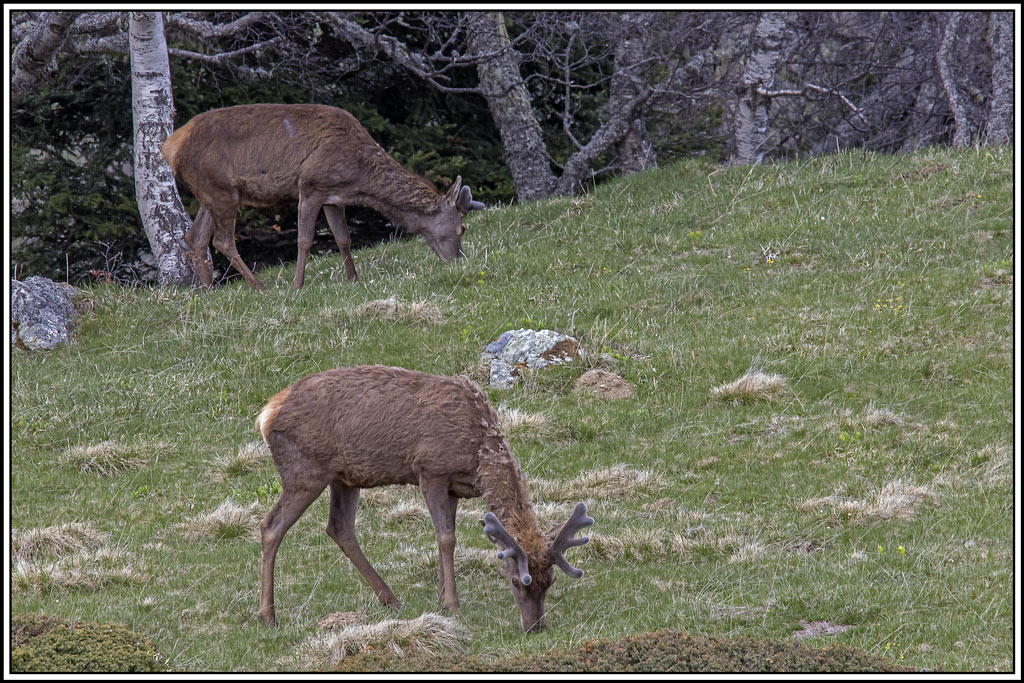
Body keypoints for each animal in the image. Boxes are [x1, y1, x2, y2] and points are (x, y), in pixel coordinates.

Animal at [161, 103, 485, 291]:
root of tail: (171, 146)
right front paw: (297, 286)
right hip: (222, 190)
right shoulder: (311, 185)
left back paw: (208, 290)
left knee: (195, 236)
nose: (459, 260)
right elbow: (305, 240)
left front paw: (353, 280)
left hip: (211, 192)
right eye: (462, 227)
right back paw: (259, 286)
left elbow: (344, 238)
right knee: (223, 240)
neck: (360, 176)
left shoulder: (333, 196)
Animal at [255, 365, 594, 633]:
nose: (535, 626)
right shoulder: (431, 470)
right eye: (515, 581)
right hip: (305, 470)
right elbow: (446, 537)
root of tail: (266, 414)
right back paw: (269, 617)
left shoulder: (454, 486)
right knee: (272, 525)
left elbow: (447, 535)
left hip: (344, 476)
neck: (478, 450)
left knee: (340, 527)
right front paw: (452, 603)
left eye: (549, 581)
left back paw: (391, 600)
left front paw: (442, 597)